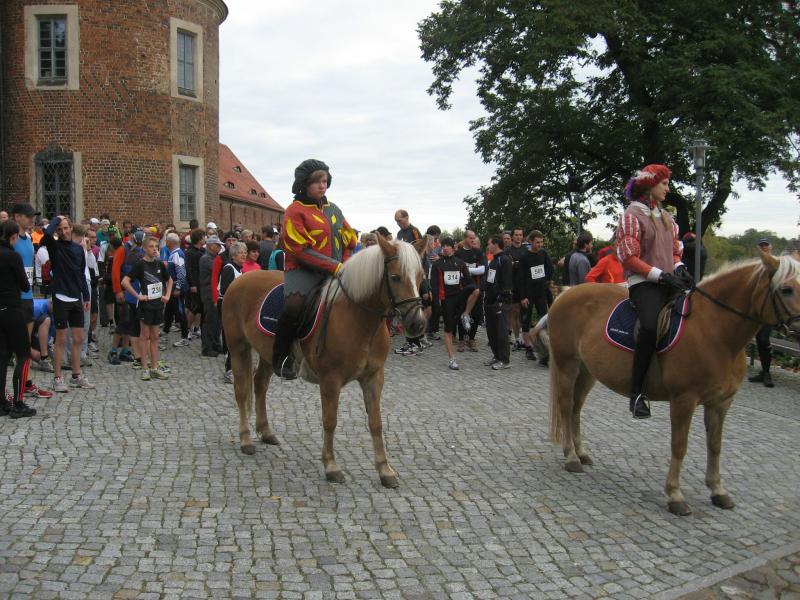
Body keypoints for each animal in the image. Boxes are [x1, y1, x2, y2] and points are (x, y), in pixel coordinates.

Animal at [221, 235, 428, 488]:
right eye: (395, 277)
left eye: (420, 276)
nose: (417, 323)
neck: (358, 317)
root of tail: (240, 279)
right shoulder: (331, 380)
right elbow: (330, 420)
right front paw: (331, 466)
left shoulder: (374, 377)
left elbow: (376, 422)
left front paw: (384, 470)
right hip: (238, 348)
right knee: (242, 391)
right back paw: (246, 440)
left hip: (268, 354)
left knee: (260, 385)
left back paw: (266, 432)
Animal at [548, 252, 800, 515]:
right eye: (787, 289)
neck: (715, 330)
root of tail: (567, 292)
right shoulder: (683, 399)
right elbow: (679, 445)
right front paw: (675, 495)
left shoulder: (721, 403)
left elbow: (715, 445)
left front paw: (718, 490)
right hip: (568, 365)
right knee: (566, 406)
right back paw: (571, 457)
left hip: (587, 371)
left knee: (576, 408)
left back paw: (581, 452)